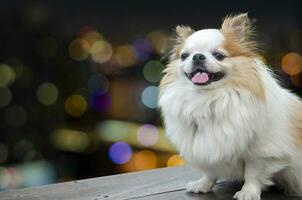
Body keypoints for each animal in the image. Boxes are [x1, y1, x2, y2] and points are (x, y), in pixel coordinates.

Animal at [158, 13, 302, 199]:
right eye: (184, 56)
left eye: (219, 55)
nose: (197, 56)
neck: (208, 99)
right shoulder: (206, 148)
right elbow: (209, 171)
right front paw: (203, 184)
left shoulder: (261, 151)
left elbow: (252, 173)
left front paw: (248, 192)